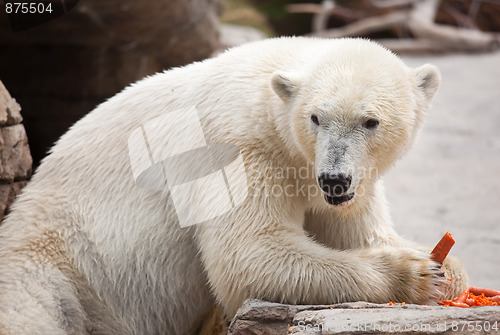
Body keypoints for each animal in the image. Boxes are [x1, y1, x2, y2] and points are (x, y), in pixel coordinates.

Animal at [0, 37, 468, 335]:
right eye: (316, 118)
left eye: (370, 121)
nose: (334, 179)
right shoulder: (240, 149)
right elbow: (250, 253)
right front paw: (416, 273)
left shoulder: (340, 183)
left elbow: (359, 231)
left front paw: (450, 271)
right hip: (59, 265)